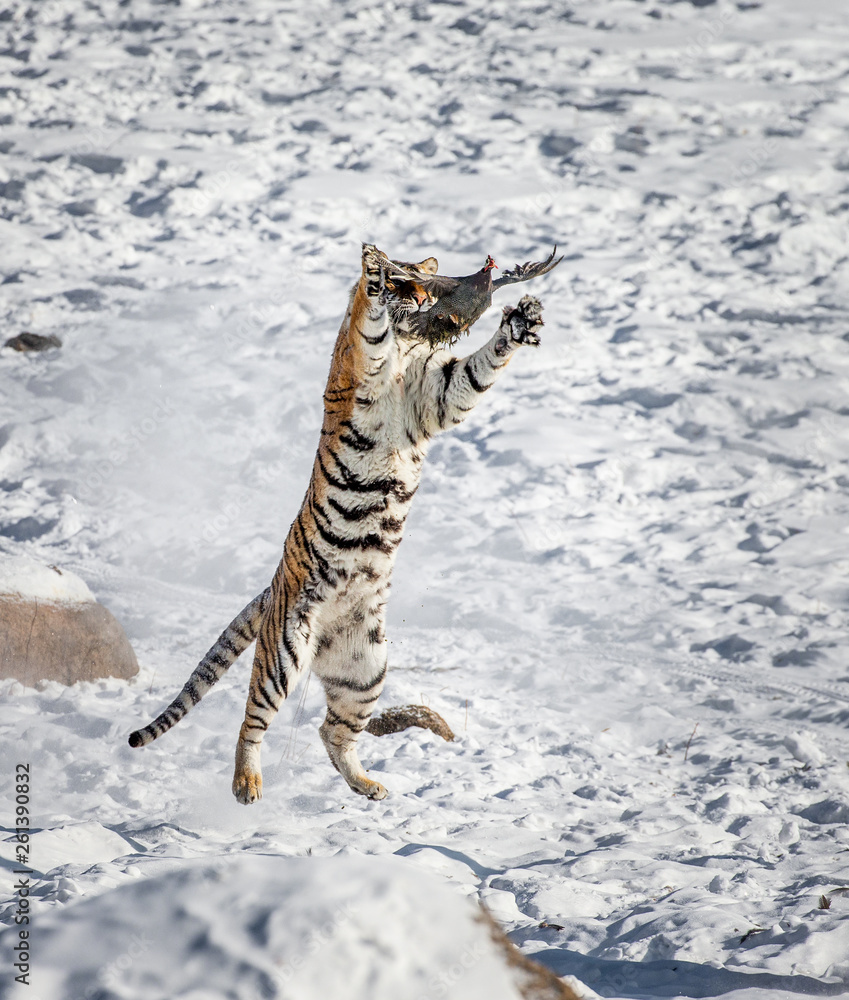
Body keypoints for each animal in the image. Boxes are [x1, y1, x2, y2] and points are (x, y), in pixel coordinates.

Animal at [129, 244, 547, 803]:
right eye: (403, 281)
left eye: (422, 282)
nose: (424, 295)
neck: (408, 348)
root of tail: (271, 590)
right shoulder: (370, 360)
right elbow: (368, 325)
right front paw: (370, 267)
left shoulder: (437, 395)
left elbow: (476, 370)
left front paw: (522, 319)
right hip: (284, 654)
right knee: (251, 721)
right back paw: (246, 784)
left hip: (365, 669)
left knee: (332, 731)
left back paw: (368, 785)